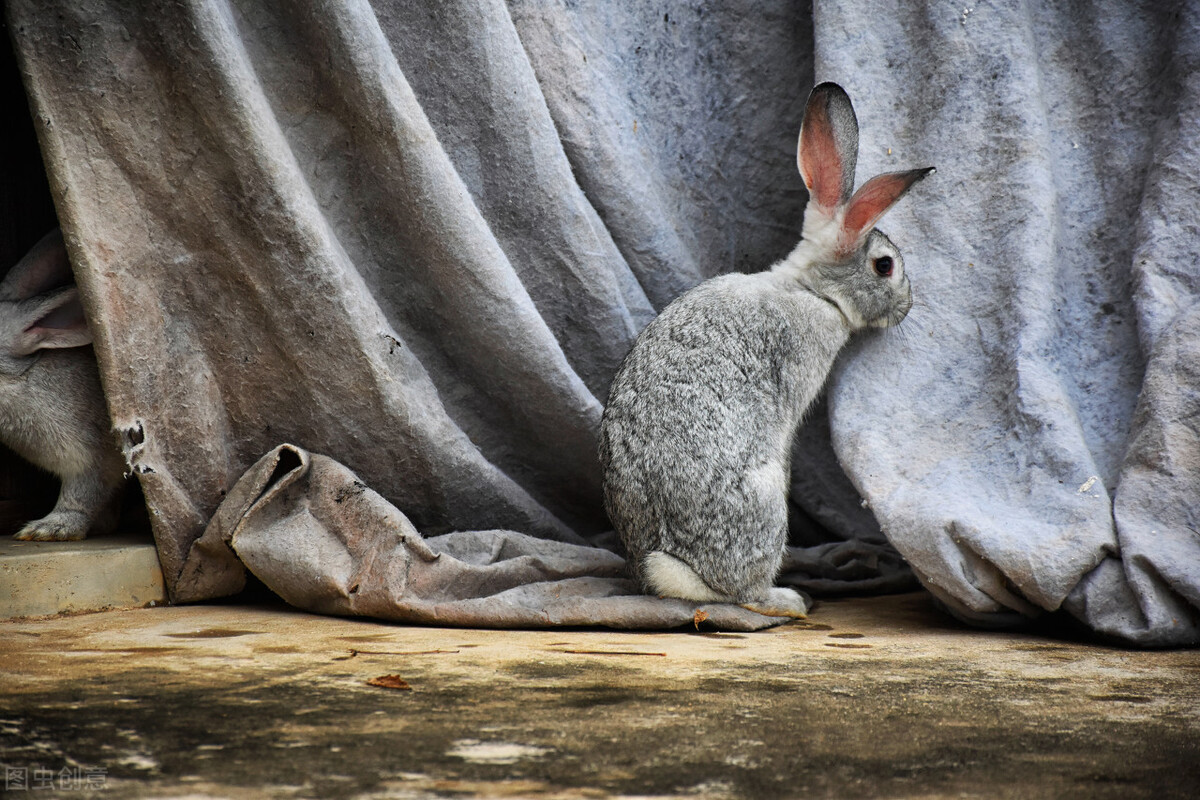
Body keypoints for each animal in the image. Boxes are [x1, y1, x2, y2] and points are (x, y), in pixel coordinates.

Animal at [600, 84, 936, 618]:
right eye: (885, 266)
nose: (907, 307)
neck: (810, 289)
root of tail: (673, 568)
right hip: (764, 500)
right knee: (745, 594)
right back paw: (790, 599)